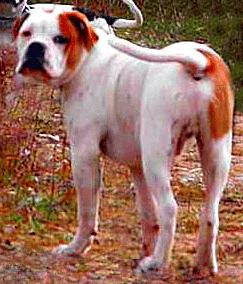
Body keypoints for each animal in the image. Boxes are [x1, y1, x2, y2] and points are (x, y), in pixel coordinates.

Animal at [12, 5, 234, 274]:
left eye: (60, 39)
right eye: (27, 33)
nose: (36, 47)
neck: (86, 59)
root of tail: (199, 62)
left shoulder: (84, 153)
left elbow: (87, 212)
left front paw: (76, 248)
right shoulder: (137, 167)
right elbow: (147, 214)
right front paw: (144, 250)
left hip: (156, 157)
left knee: (169, 208)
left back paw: (158, 262)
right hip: (215, 155)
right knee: (211, 214)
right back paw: (204, 265)